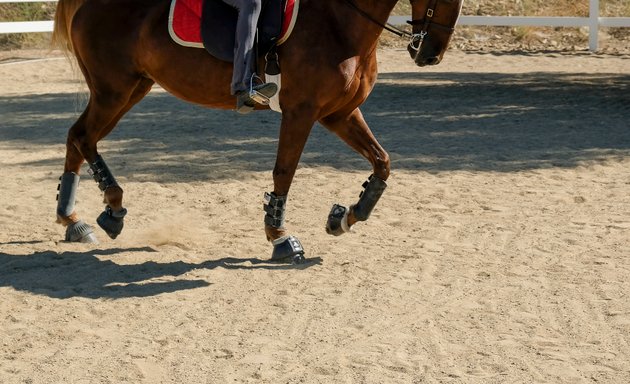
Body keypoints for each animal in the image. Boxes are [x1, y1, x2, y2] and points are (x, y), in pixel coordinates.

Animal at [51, 0, 464, 262]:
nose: (430, 54)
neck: (338, 20)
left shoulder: (339, 113)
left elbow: (382, 162)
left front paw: (344, 216)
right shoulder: (302, 112)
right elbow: (284, 171)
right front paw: (280, 239)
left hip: (131, 89)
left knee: (77, 137)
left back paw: (76, 220)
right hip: (114, 91)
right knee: (83, 137)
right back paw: (106, 210)